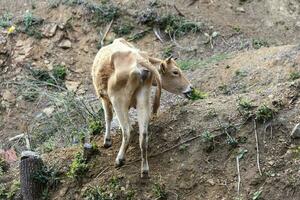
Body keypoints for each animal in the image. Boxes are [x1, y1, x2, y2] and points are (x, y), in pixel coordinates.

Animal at [91, 38, 193, 178]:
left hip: (118, 101)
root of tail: (139, 59)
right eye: (175, 72)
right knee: (143, 135)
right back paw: (144, 170)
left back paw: (120, 159)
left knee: (127, 131)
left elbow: (108, 117)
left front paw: (107, 141)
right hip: (143, 100)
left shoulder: (104, 99)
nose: (191, 88)